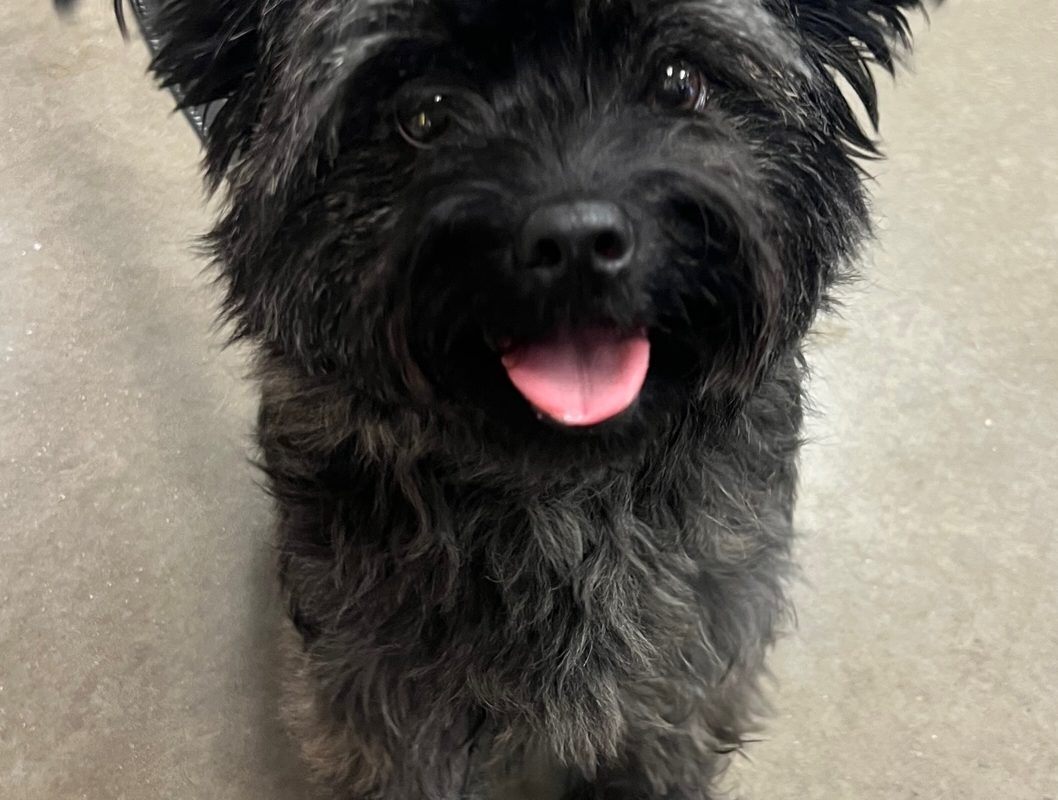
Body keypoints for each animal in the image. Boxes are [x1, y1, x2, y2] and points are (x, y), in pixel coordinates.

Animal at [66, 0, 931, 796]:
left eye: (679, 80)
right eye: (422, 112)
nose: (577, 241)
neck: (560, 501)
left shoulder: (683, 688)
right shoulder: (381, 707)